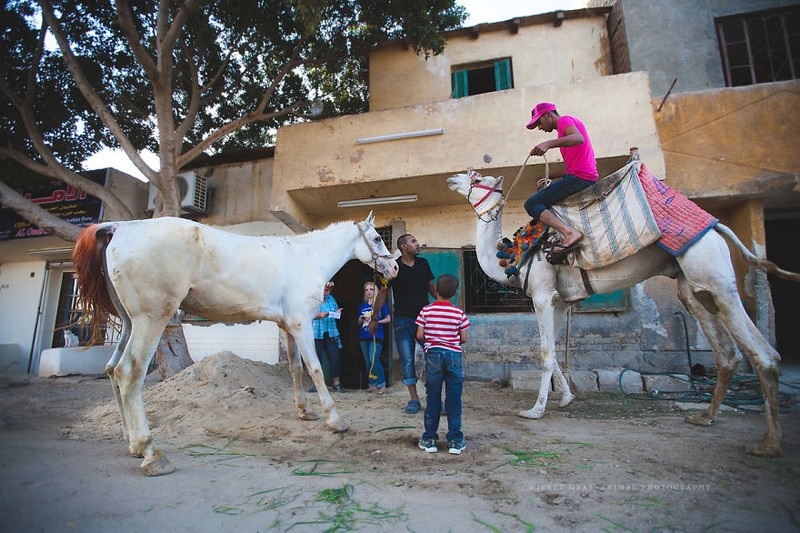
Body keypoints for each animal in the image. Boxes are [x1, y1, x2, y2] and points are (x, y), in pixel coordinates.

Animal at [73, 213, 398, 474]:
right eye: (377, 238)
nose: (393, 270)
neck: (306, 258)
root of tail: (119, 227)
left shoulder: (288, 326)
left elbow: (295, 369)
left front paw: (305, 412)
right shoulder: (302, 324)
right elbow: (315, 370)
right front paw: (335, 420)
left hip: (130, 321)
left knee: (112, 369)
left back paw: (132, 444)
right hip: (151, 319)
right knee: (130, 373)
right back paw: (151, 453)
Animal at [450, 170, 800, 458]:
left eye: (476, 176)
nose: (452, 178)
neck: (516, 257)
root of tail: (716, 226)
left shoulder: (542, 295)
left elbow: (546, 353)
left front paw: (536, 410)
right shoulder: (559, 301)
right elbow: (556, 353)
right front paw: (566, 398)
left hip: (713, 272)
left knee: (762, 353)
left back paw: (767, 444)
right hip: (692, 284)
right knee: (726, 351)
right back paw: (705, 417)